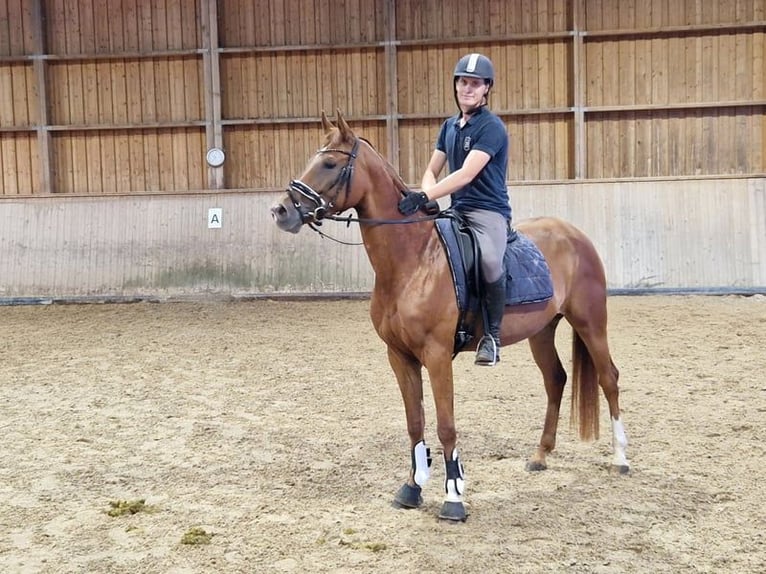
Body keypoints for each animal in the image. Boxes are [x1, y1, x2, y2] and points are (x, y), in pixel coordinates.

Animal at [270, 111, 629, 522]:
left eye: (329, 164)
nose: (281, 211)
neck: (413, 261)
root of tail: (574, 234)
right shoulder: (399, 356)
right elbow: (415, 423)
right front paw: (412, 487)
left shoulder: (438, 356)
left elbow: (445, 426)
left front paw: (454, 496)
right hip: (541, 331)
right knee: (555, 380)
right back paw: (540, 455)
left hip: (590, 322)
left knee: (608, 378)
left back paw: (620, 458)